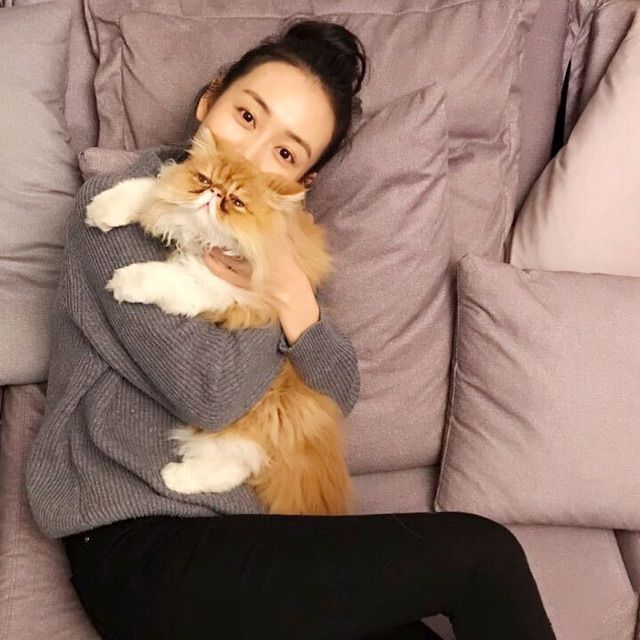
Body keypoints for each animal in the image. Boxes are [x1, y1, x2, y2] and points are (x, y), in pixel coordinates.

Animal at [84, 126, 353, 515]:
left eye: (237, 202)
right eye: (204, 180)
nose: (214, 195)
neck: (202, 241)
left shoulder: (214, 286)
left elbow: (160, 276)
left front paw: (124, 281)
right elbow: (147, 188)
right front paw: (100, 209)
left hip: (253, 417)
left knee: (236, 463)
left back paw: (175, 477)